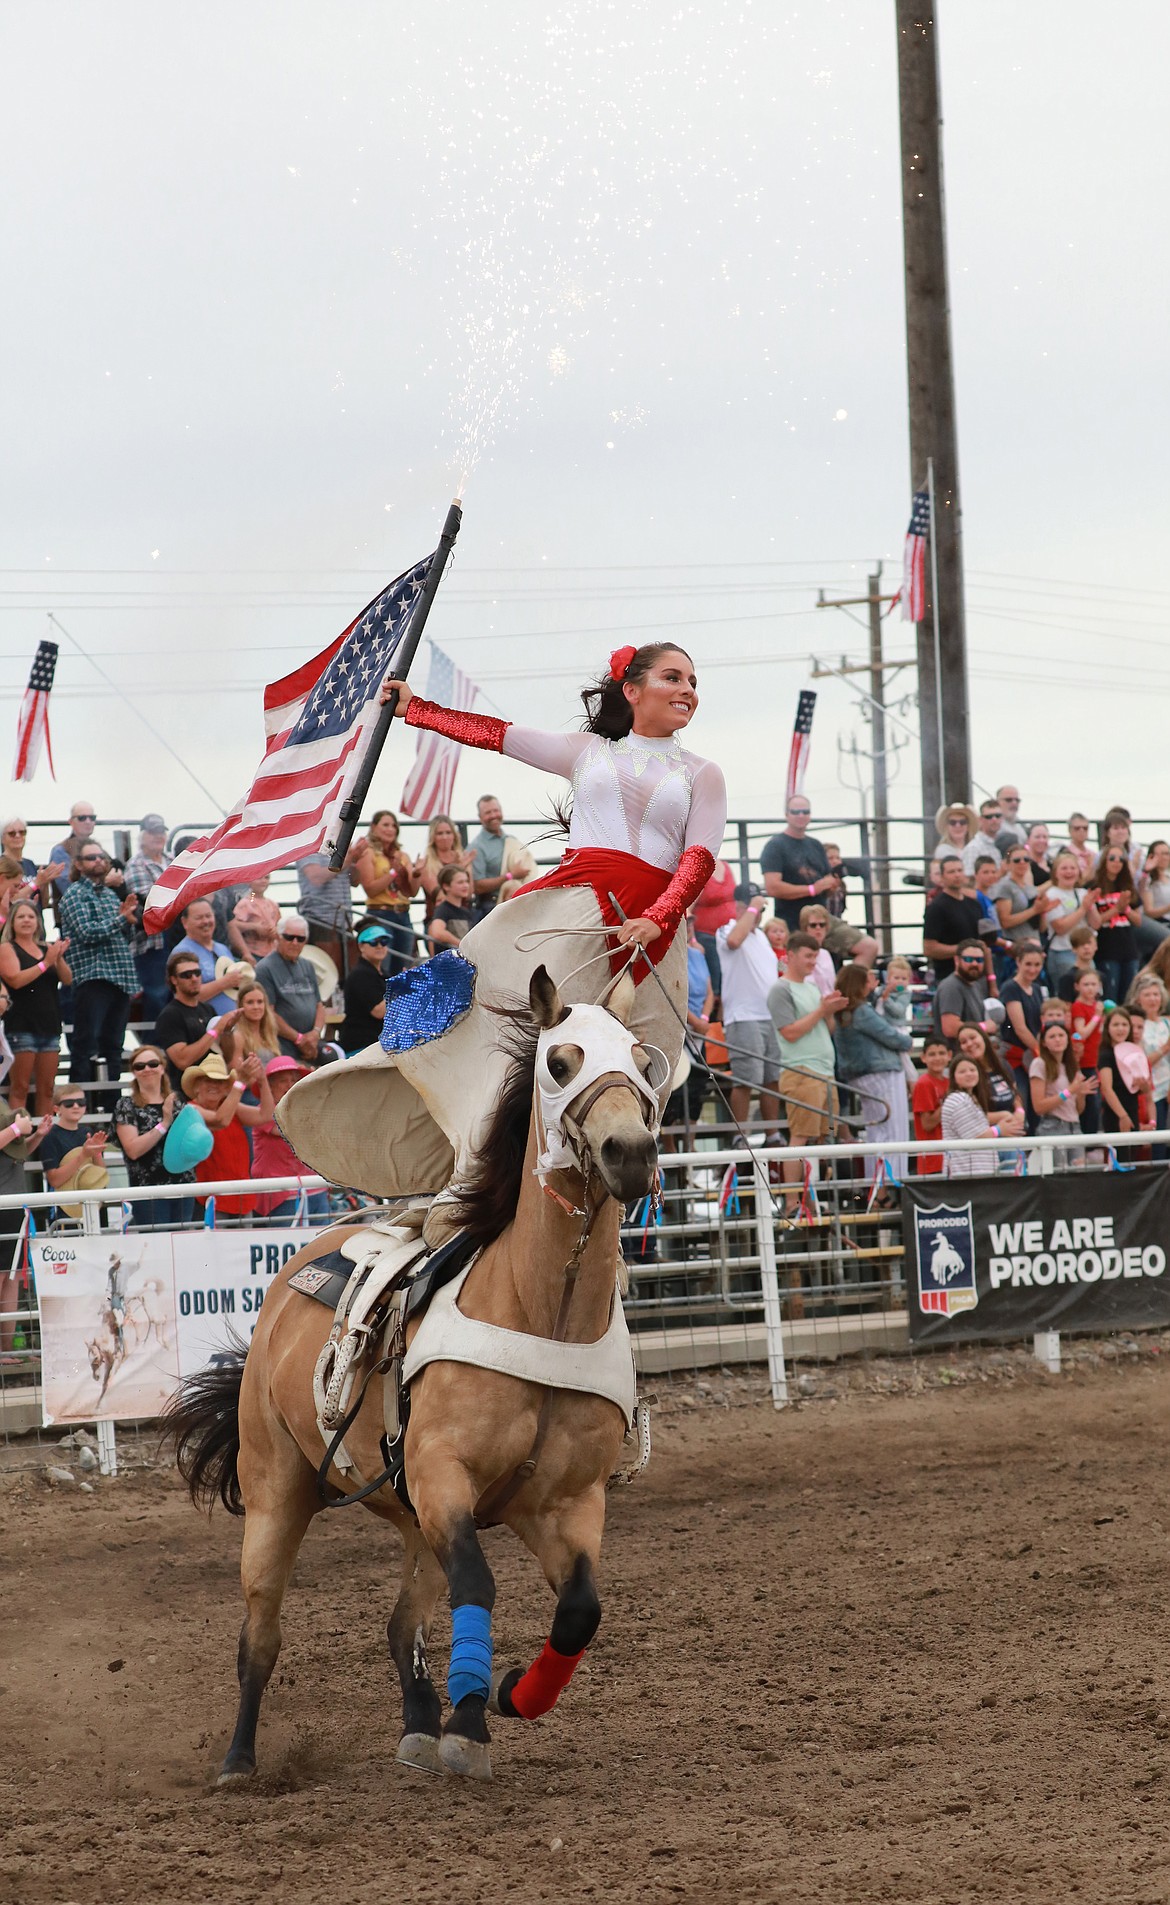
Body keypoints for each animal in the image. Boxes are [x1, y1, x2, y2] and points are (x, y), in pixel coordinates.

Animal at [162, 967, 670, 1783]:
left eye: (642, 1060)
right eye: (560, 1062)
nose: (629, 1150)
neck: (543, 1311)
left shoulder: (566, 1501)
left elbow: (579, 1611)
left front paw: (510, 1696)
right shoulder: (444, 1476)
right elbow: (480, 1584)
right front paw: (470, 1725)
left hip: (409, 1515)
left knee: (402, 1625)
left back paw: (419, 1726)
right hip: (277, 1488)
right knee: (260, 1634)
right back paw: (240, 1760)